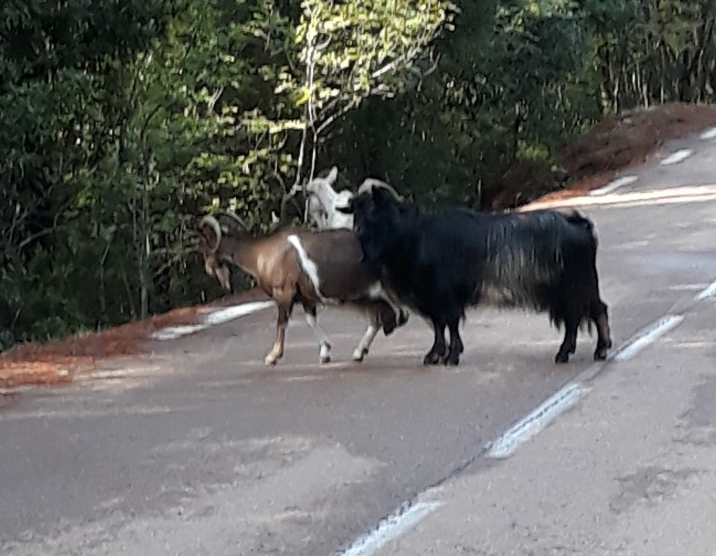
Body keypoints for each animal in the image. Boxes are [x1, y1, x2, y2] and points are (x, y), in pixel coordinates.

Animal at [197, 215, 408, 368]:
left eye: (206, 246)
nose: (207, 269)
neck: (260, 255)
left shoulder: (284, 293)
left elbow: (281, 323)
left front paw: (272, 356)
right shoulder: (307, 297)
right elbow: (310, 320)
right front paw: (325, 353)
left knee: (392, 313)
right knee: (384, 317)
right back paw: (358, 352)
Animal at [338, 188, 612, 364]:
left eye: (374, 210)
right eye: (355, 212)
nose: (357, 231)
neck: (414, 237)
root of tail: (578, 223)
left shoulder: (444, 295)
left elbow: (449, 323)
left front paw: (451, 355)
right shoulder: (432, 298)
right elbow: (439, 326)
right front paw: (435, 355)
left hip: (573, 287)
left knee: (586, 314)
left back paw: (584, 351)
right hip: (574, 288)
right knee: (586, 314)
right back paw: (582, 351)